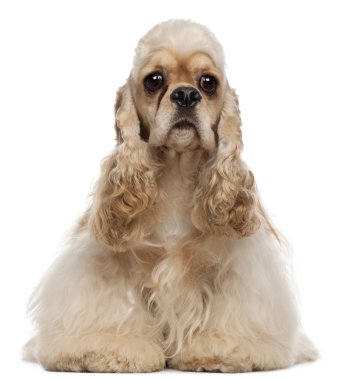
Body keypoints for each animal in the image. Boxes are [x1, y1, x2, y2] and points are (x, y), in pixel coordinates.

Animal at [26, 20, 318, 372]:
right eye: (154, 80)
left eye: (208, 82)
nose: (186, 94)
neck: (177, 173)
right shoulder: (110, 265)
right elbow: (115, 313)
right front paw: (107, 351)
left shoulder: (233, 269)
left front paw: (221, 351)